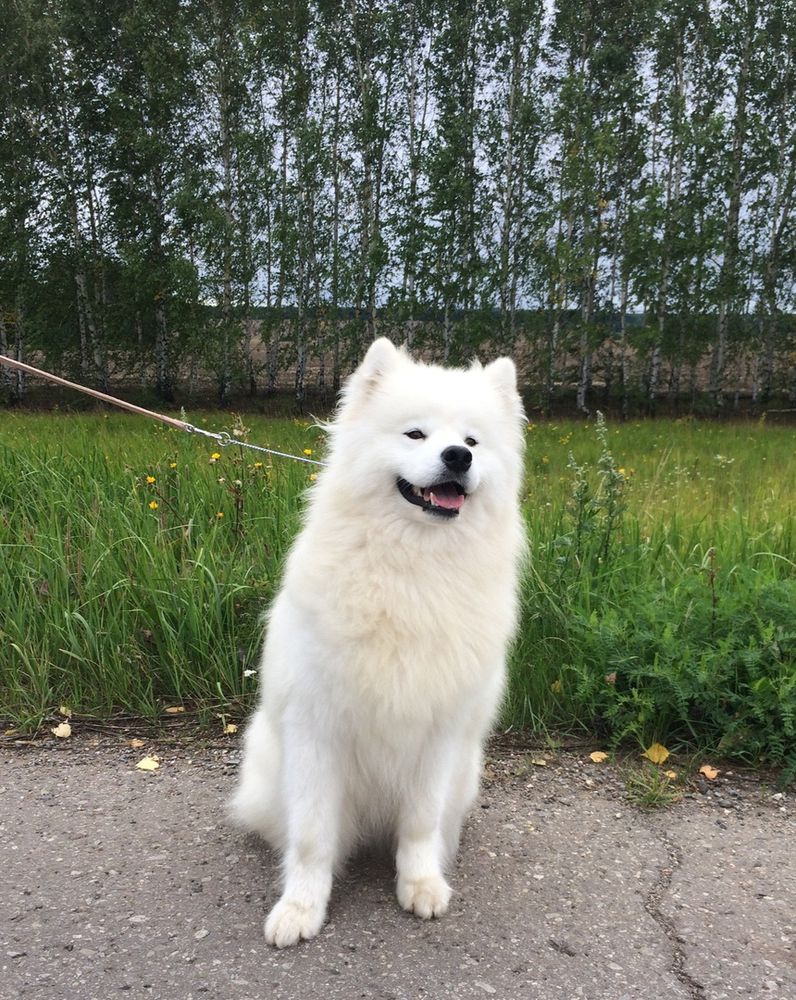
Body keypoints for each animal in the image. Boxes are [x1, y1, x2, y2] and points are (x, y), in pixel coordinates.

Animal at [230, 336, 528, 944]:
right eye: (415, 434)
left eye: (472, 441)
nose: (457, 458)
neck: (412, 566)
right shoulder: (317, 730)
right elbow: (312, 836)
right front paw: (300, 908)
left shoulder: (438, 733)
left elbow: (418, 825)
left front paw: (421, 885)